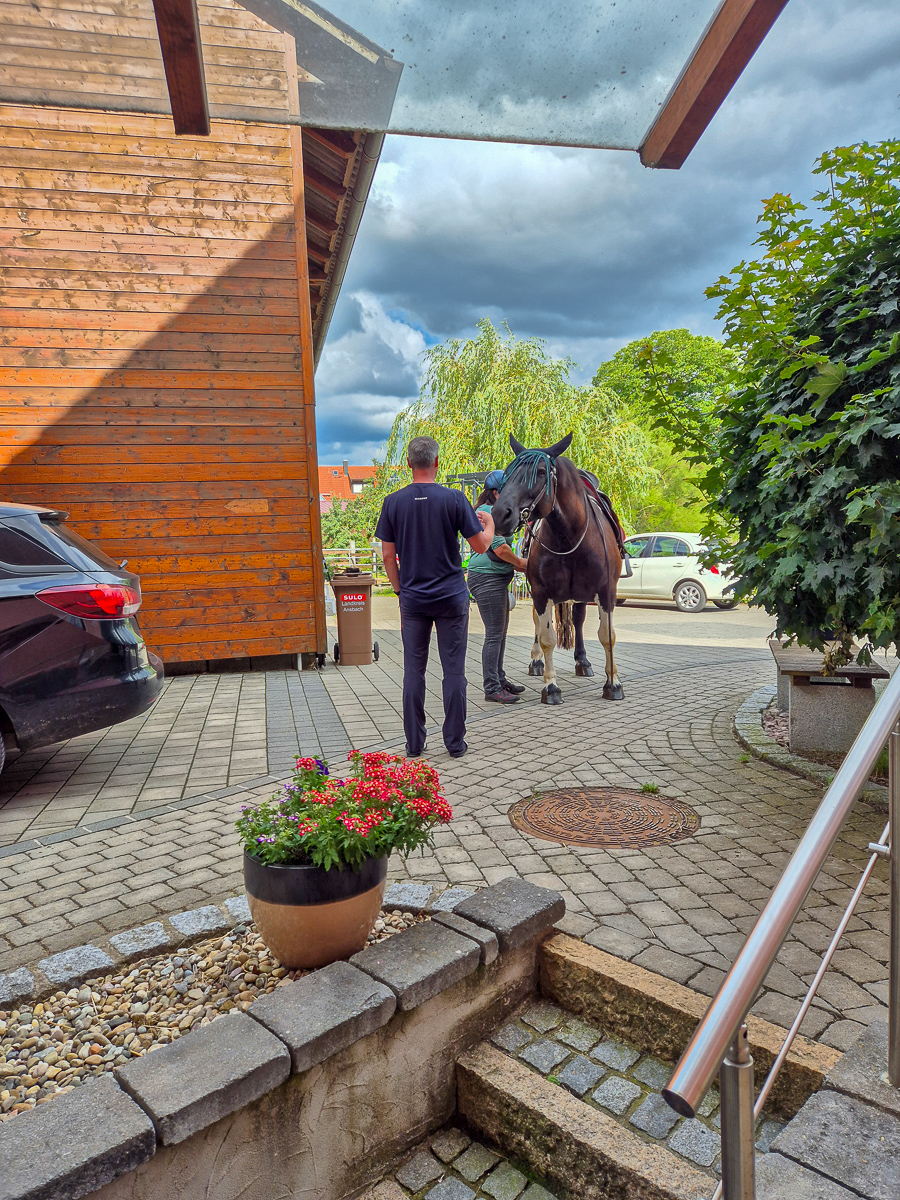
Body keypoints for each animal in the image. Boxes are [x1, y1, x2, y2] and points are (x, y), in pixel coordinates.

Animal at [491, 433, 625, 705]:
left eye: (542, 472)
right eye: (508, 472)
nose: (500, 514)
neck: (570, 537)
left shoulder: (607, 592)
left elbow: (607, 635)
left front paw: (613, 683)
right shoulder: (542, 593)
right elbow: (546, 638)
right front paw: (551, 687)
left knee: (579, 619)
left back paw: (582, 661)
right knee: (538, 624)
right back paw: (536, 662)